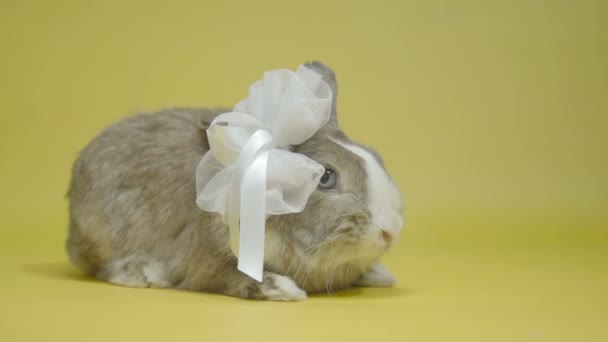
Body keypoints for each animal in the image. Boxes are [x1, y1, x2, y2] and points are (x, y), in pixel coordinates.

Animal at [66, 62, 404, 302]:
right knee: (104, 266)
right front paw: (285, 290)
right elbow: (233, 278)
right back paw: (145, 274)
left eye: (375, 156)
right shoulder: (207, 263)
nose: (390, 231)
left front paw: (380, 275)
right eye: (326, 177)